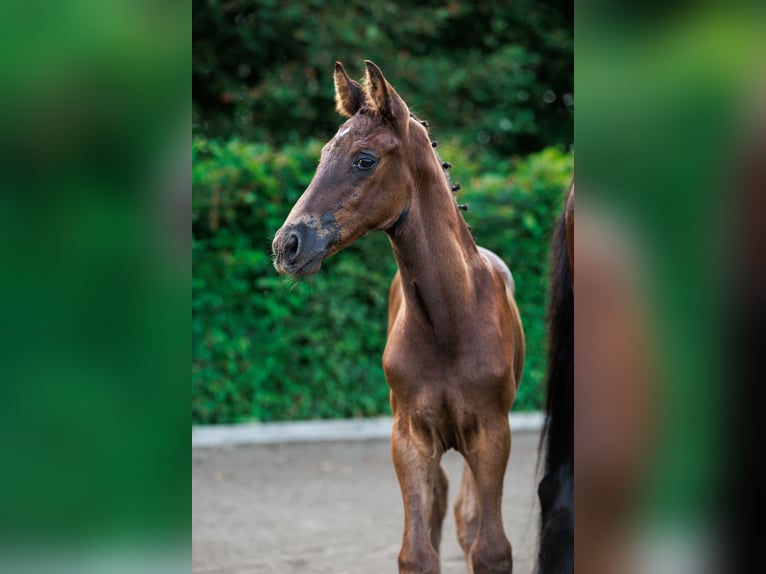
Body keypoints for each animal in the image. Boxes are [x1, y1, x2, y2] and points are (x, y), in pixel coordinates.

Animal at [272, 60, 528, 572]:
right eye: (324, 152)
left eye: (364, 159)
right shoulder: (408, 437)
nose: (286, 245)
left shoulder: (492, 433)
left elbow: (490, 547)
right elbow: (417, 552)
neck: (449, 321)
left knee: (466, 516)